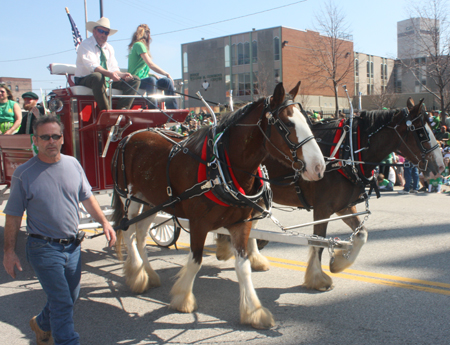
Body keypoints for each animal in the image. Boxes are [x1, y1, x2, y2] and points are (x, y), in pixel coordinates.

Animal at [111, 81, 326, 328]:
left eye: (307, 120)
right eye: (287, 123)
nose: (319, 167)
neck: (220, 167)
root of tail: (129, 136)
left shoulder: (241, 223)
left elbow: (243, 267)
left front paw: (253, 311)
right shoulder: (198, 223)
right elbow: (195, 261)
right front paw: (183, 298)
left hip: (151, 201)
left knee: (141, 234)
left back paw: (148, 273)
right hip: (129, 197)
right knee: (128, 232)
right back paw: (137, 275)